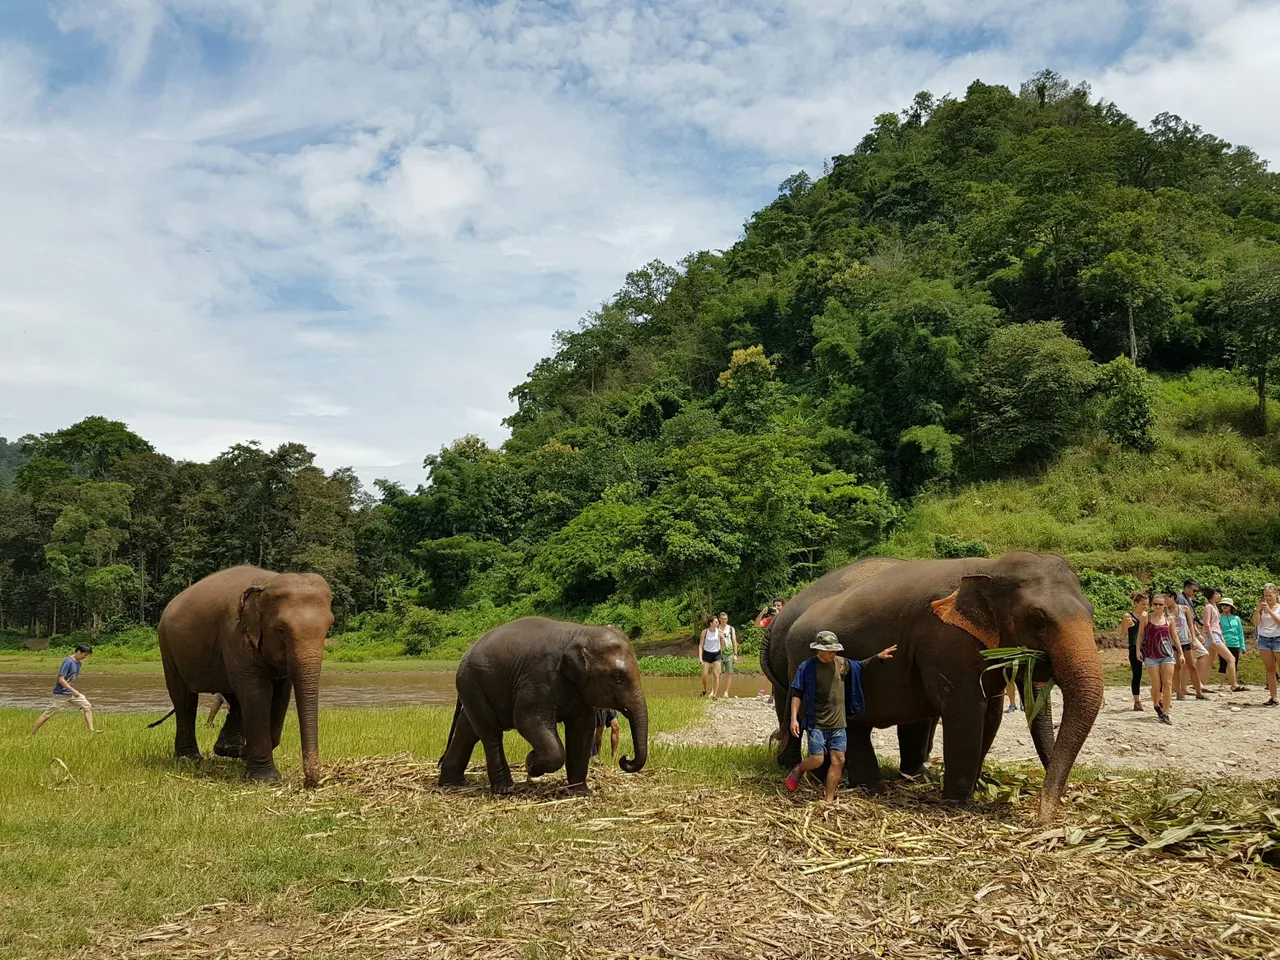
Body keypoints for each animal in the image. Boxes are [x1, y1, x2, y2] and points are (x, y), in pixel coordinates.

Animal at [156, 563, 330, 788]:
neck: (267, 583)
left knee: (232, 696)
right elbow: (257, 692)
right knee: (184, 698)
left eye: (329, 628)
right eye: (281, 630)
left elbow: (281, 695)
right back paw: (190, 759)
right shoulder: (235, 633)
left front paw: (241, 754)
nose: (311, 783)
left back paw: (226, 749)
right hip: (167, 645)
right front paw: (265, 779)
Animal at [440, 619, 650, 793]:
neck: (580, 631)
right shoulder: (539, 678)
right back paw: (504, 789)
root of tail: (467, 653)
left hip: (474, 687)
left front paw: (581, 792)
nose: (625, 758)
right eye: (618, 678)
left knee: (468, 729)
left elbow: (582, 728)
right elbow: (527, 721)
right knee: (490, 732)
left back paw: (452, 784)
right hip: (472, 682)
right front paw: (531, 764)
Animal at [762, 552, 1105, 824]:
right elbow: (966, 712)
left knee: (854, 727)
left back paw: (878, 785)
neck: (989, 568)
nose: (1045, 814)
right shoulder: (943, 641)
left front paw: (970, 789)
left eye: (1091, 611)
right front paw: (959, 804)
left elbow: (990, 714)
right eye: (1038, 619)